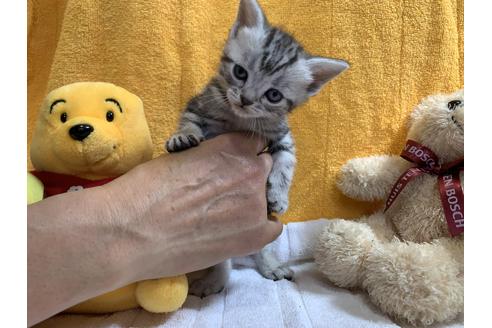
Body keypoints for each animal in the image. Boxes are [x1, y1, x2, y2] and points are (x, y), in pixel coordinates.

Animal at [164, 0, 346, 298]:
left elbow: (286, 164)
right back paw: (215, 281)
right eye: (240, 72)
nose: (246, 100)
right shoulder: (199, 104)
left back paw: (270, 265)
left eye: (273, 95)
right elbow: (189, 121)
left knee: (261, 248)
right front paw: (182, 136)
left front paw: (279, 195)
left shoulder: (282, 136)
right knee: (223, 259)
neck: (240, 119)